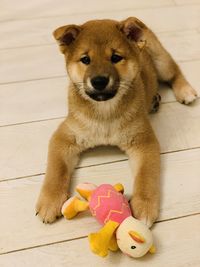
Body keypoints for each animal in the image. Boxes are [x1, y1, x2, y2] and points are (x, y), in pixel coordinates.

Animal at [35, 17, 197, 228]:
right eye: (85, 59)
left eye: (116, 57)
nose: (99, 81)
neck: (105, 112)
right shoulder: (64, 137)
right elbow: (57, 170)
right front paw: (50, 201)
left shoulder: (144, 142)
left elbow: (146, 175)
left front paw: (144, 206)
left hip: (161, 60)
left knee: (175, 71)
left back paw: (185, 91)